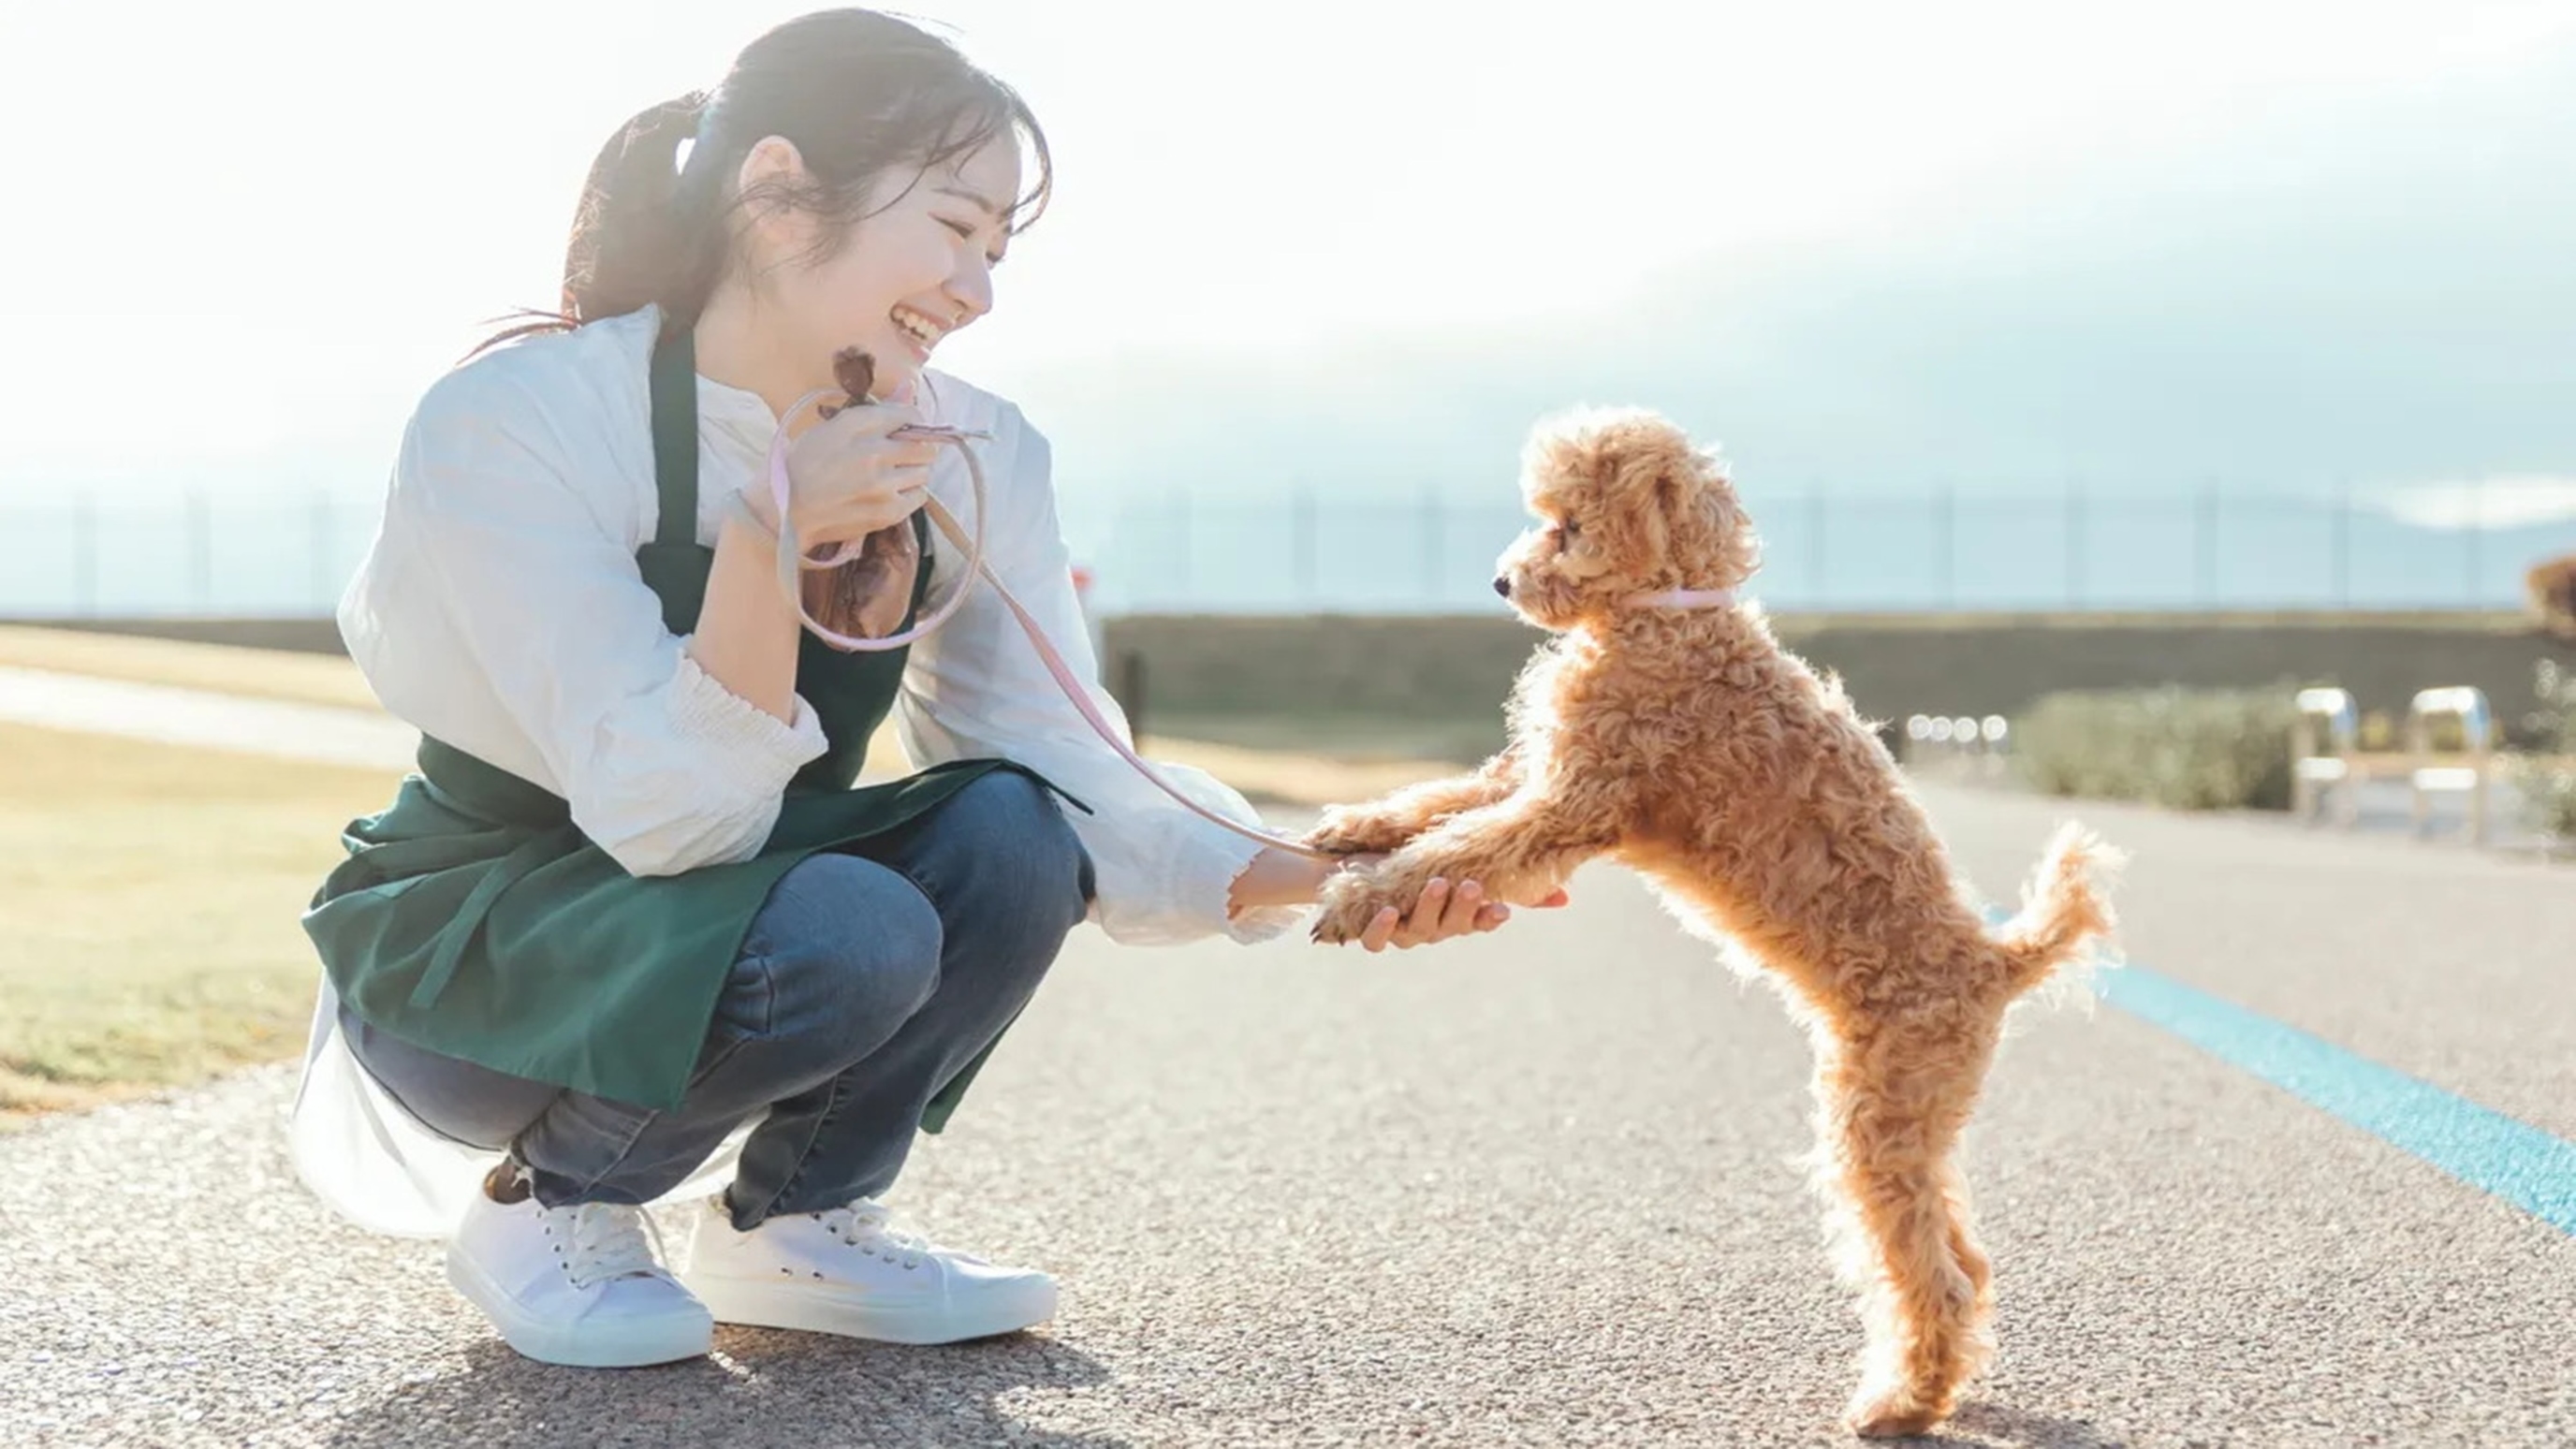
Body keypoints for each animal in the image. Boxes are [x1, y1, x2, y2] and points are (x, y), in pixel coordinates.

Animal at [1309, 407, 2112, 1433]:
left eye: (1566, 526)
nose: (1499, 582)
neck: (1664, 616)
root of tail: (1997, 961)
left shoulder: (1572, 800)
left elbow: (1461, 846)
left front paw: (1357, 898)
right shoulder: (1531, 774)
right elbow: (1441, 803)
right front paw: (1351, 831)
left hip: (1878, 1113)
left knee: (1924, 1273)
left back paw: (1896, 1404)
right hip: (1917, 1120)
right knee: (1964, 1265)